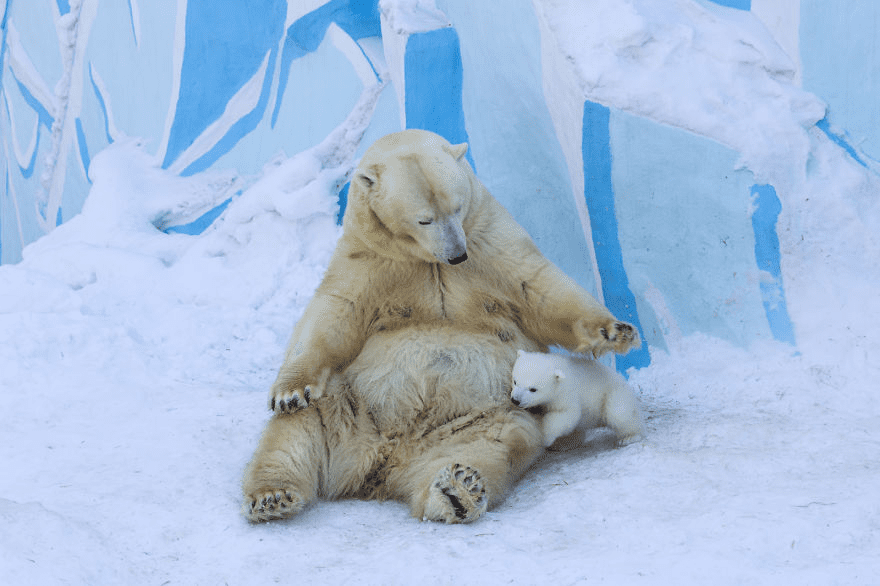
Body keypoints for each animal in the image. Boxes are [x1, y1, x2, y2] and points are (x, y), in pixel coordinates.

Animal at [508, 346, 648, 448]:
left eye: (533, 389)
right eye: (515, 381)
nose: (515, 400)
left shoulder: (566, 394)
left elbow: (567, 415)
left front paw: (546, 438)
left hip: (614, 394)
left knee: (619, 413)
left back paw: (629, 437)